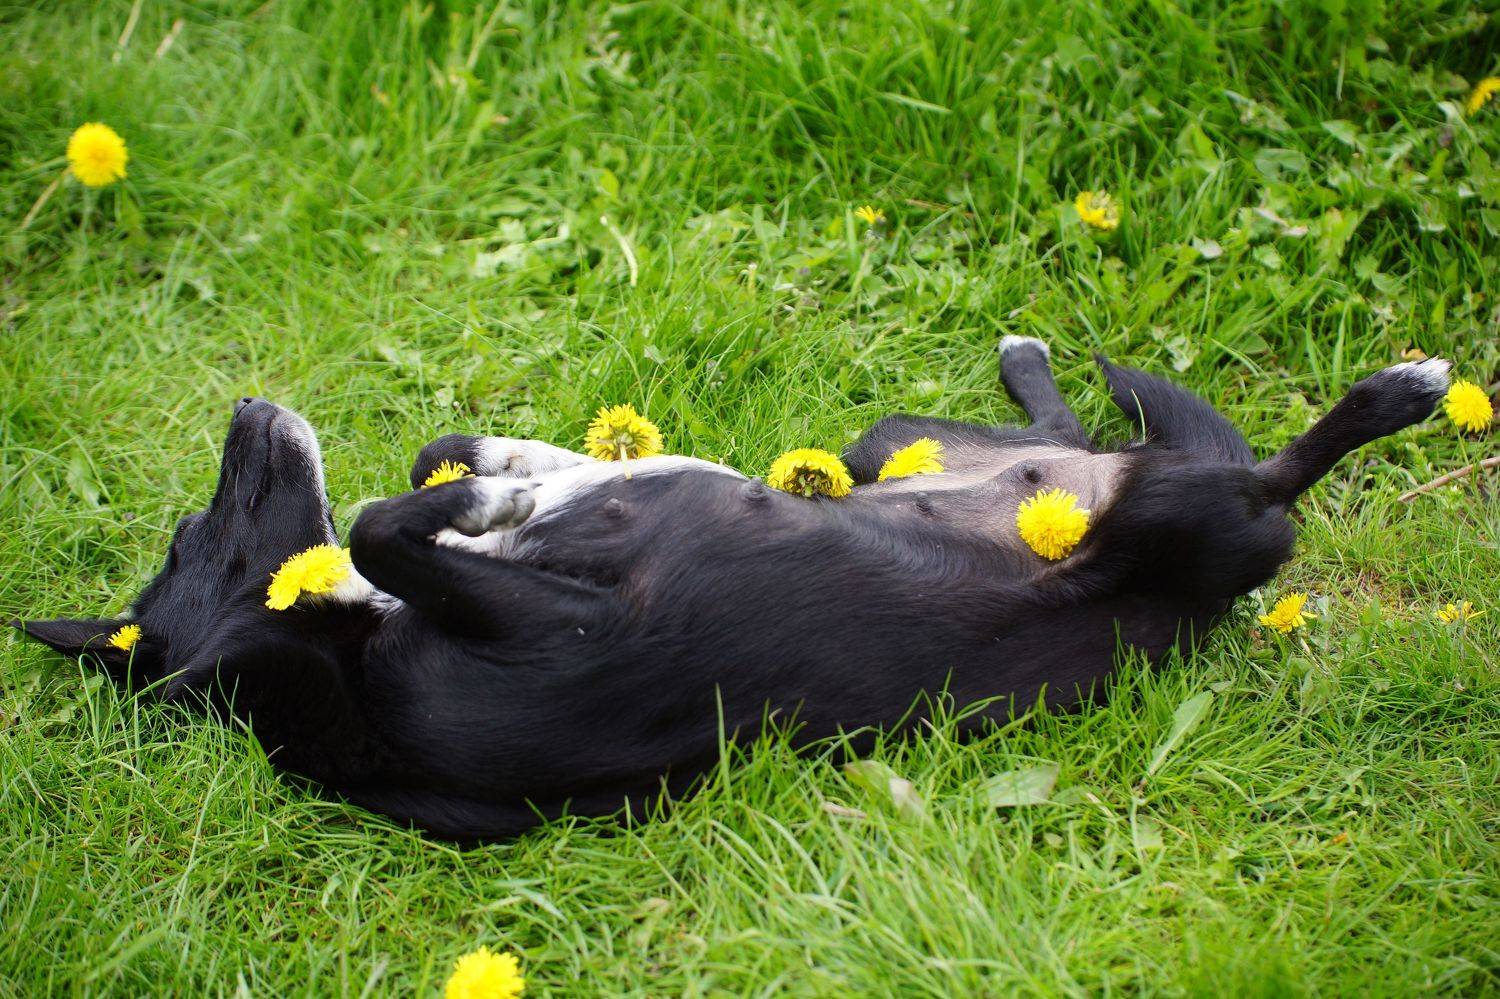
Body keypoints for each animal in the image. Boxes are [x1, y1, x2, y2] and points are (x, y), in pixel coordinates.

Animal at [17, 340, 1451, 840]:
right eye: (200, 526)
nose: (246, 410)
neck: (341, 668)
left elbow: (429, 461)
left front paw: (511, 469)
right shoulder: (585, 625)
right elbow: (378, 524)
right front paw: (495, 500)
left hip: (888, 438)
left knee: (1063, 420)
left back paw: (1031, 359)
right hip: (1191, 522)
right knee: (1277, 476)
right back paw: (1400, 392)